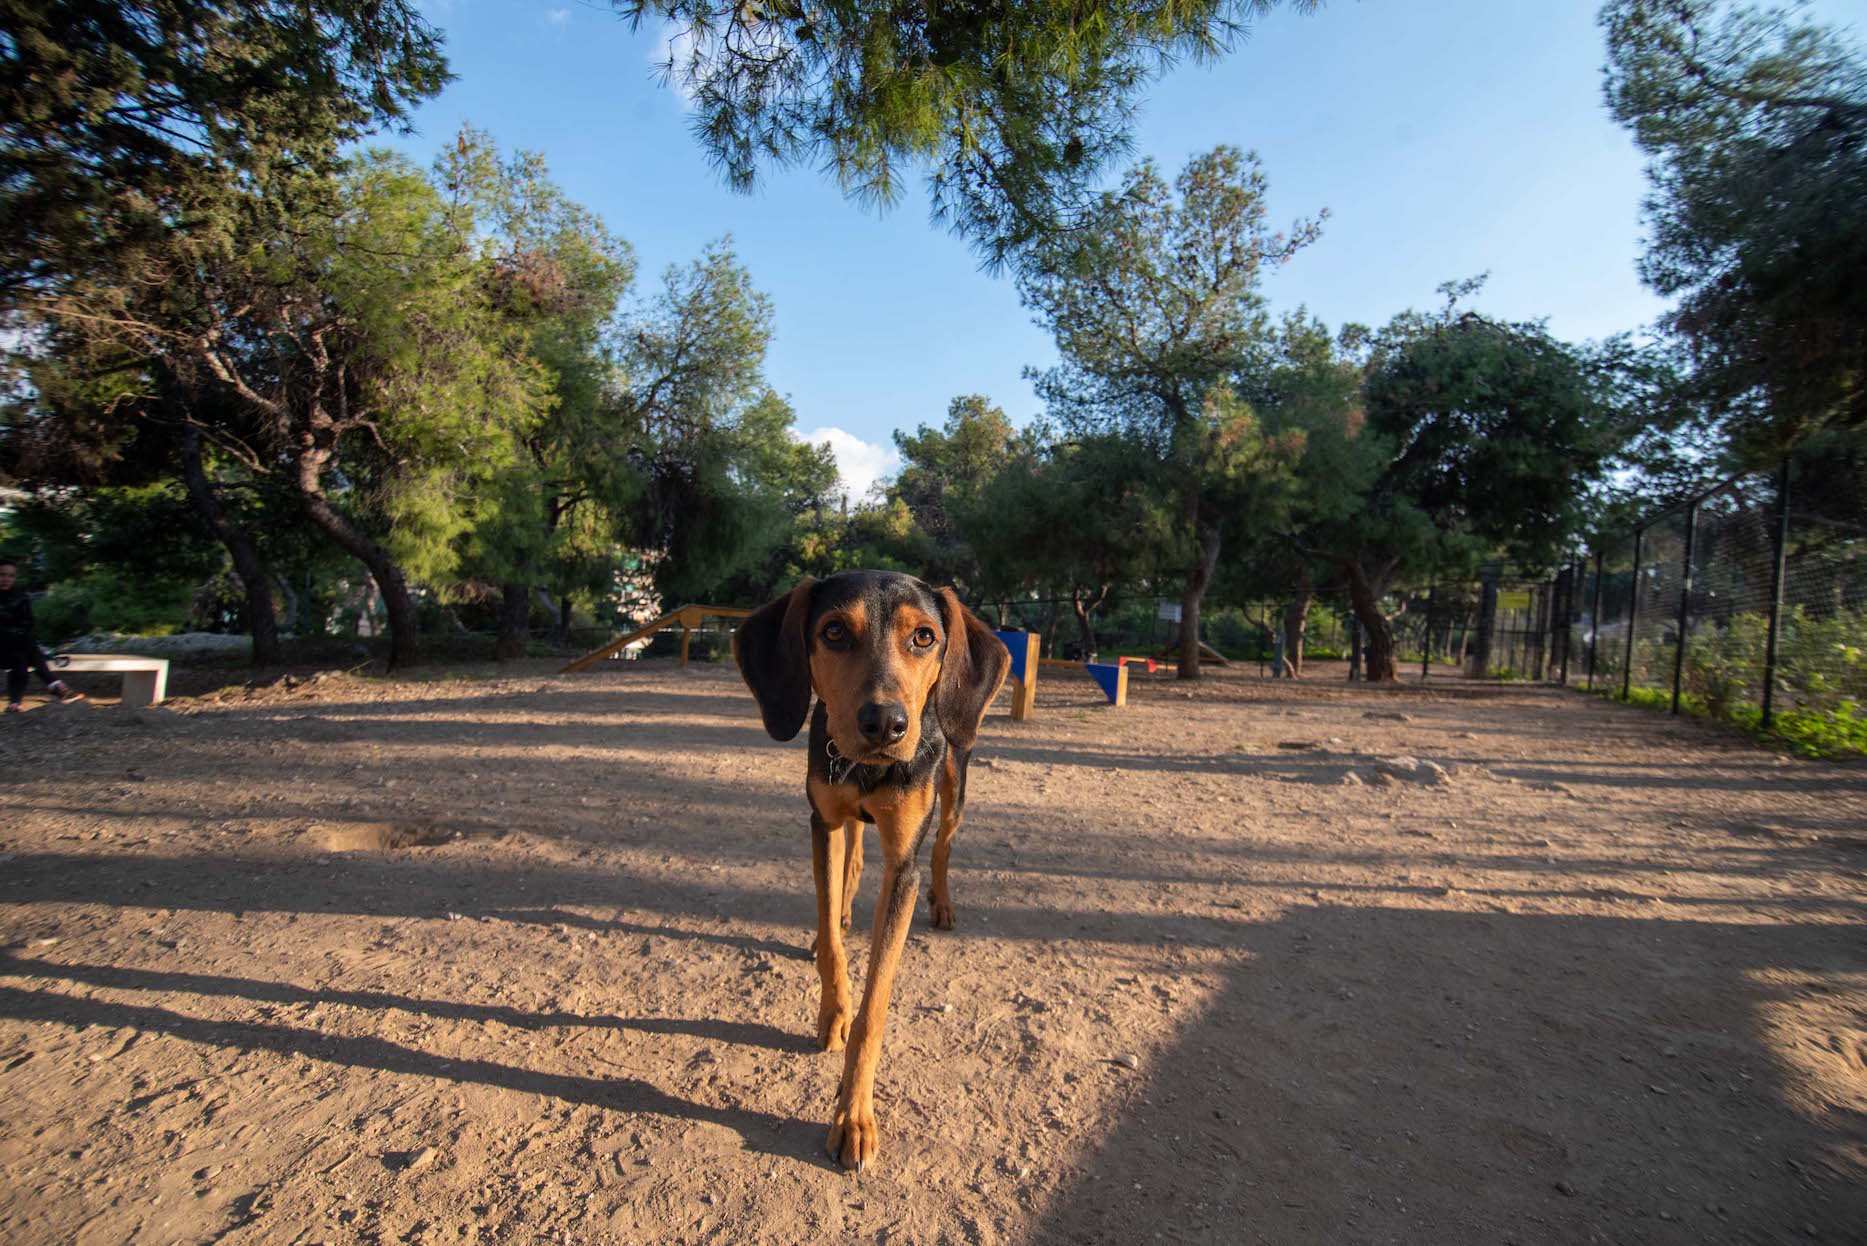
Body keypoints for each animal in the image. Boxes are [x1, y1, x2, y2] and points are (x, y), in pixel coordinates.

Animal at [735, 571, 1015, 1173]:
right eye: (834, 631)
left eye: (925, 637)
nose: (885, 723)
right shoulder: (822, 821)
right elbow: (835, 943)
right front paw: (833, 1003)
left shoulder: (903, 862)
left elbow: (876, 1006)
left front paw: (853, 1118)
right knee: (855, 861)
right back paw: (838, 920)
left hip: (955, 785)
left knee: (944, 848)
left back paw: (943, 904)